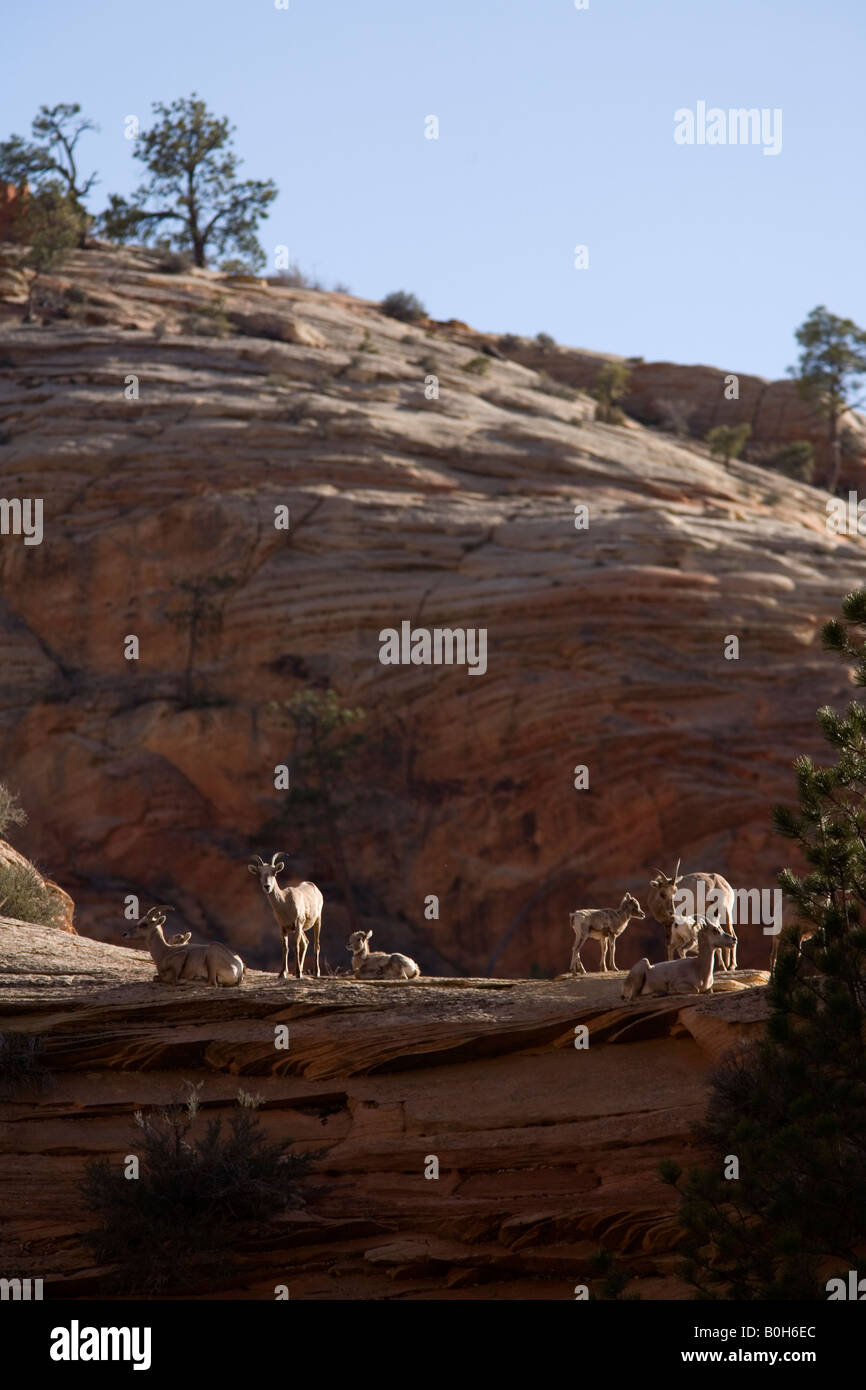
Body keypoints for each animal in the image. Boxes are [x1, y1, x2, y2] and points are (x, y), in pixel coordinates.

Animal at [247, 850, 325, 984]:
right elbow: (285, 948)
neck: (285, 903)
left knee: (316, 944)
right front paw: (282, 973)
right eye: (259, 873)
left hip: (317, 921)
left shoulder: (297, 925)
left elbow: (295, 947)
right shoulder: (283, 928)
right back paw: (296, 971)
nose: (267, 886)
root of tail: (314, 887)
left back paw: (316, 972)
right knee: (305, 943)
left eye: (274, 873)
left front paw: (299, 974)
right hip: (303, 928)